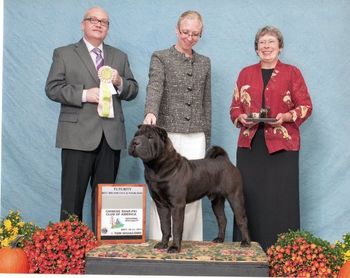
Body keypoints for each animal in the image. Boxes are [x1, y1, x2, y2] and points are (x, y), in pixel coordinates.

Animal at [129, 125, 252, 253]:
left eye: (150, 137)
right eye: (136, 135)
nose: (135, 142)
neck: (156, 168)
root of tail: (225, 161)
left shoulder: (177, 205)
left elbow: (176, 228)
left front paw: (174, 247)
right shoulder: (161, 205)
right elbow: (165, 226)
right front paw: (163, 244)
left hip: (235, 197)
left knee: (242, 219)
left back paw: (245, 242)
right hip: (217, 201)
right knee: (222, 219)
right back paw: (219, 239)